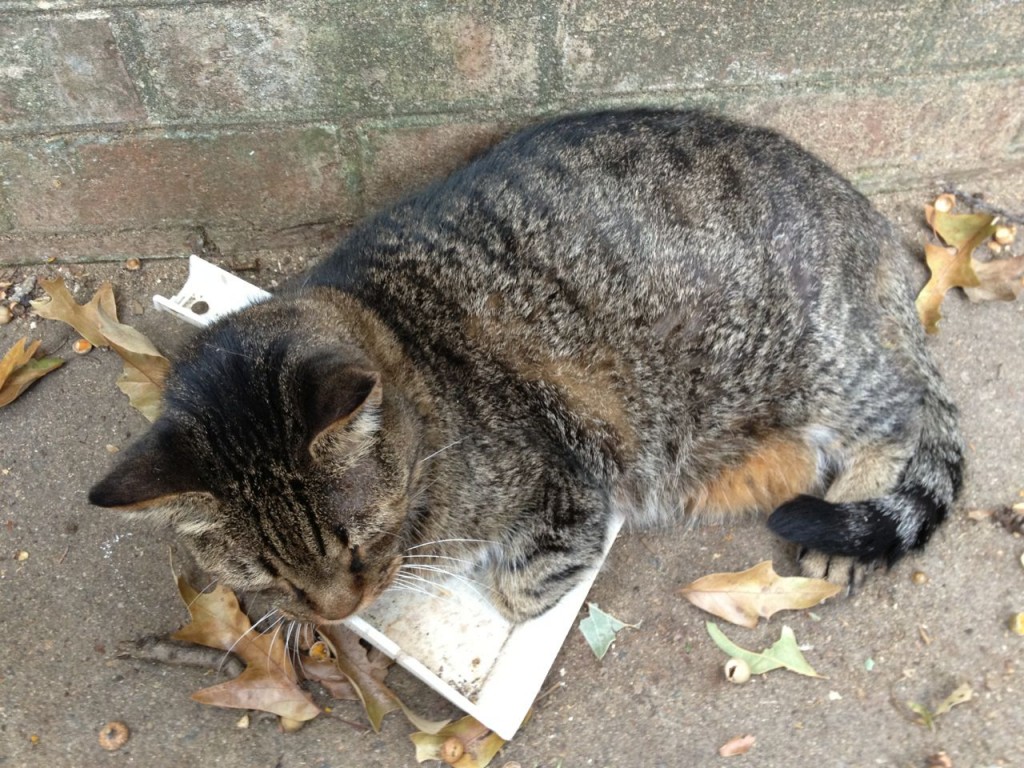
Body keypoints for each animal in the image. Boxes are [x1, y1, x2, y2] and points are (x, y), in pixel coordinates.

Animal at [88, 108, 958, 626]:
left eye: (361, 544)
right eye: (268, 574)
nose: (339, 613)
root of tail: (869, 222)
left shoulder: (569, 484)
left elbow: (521, 587)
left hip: (817, 357)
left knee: (903, 412)